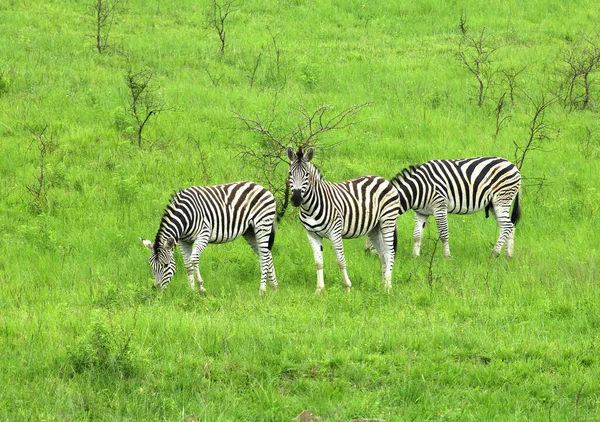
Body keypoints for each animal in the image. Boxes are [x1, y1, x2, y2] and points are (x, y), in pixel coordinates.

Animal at [141, 181, 278, 296]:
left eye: (165, 265)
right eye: (151, 265)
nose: (157, 289)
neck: (184, 217)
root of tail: (261, 187)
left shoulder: (203, 234)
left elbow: (194, 259)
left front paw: (201, 288)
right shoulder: (183, 241)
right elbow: (188, 265)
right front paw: (191, 292)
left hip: (262, 225)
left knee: (264, 257)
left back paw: (262, 290)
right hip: (250, 232)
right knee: (267, 255)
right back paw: (274, 287)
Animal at [284, 147, 398, 292]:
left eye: (307, 174)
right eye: (290, 173)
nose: (296, 200)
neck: (310, 207)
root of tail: (381, 179)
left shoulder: (335, 232)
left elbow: (340, 261)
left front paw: (347, 287)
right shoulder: (312, 234)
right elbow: (318, 262)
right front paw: (319, 290)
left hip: (387, 221)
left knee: (390, 253)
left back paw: (388, 287)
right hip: (374, 228)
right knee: (382, 255)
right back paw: (382, 285)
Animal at [366, 157, 520, 258]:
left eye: (375, 230)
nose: (366, 252)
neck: (418, 189)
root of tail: (513, 166)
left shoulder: (439, 206)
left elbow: (444, 233)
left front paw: (447, 256)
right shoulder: (421, 212)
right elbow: (416, 234)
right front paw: (415, 256)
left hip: (501, 199)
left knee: (507, 226)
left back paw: (494, 253)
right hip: (494, 204)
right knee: (509, 226)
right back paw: (508, 255)